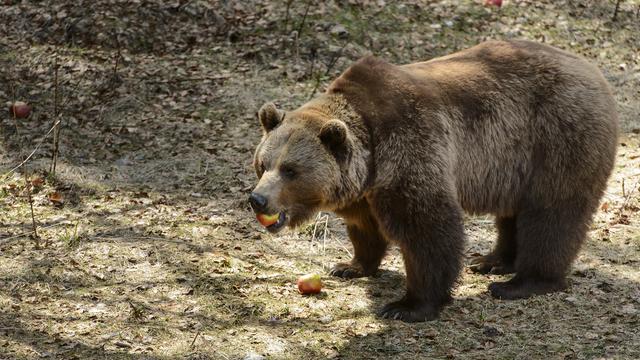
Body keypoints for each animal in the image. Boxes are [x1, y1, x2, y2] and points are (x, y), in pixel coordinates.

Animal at [248, 40, 616, 324]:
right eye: (262, 164)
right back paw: (492, 260)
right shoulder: (366, 188)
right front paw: (350, 265)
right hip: (515, 164)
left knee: (552, 213)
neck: (371, 147)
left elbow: (426, 228)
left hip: (557, 136)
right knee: (513, 213)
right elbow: (365, 226)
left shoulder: (410, 145)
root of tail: (593, 71)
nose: (258, 199)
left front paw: (407, 305)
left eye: (291, 170)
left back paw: (522, 282)